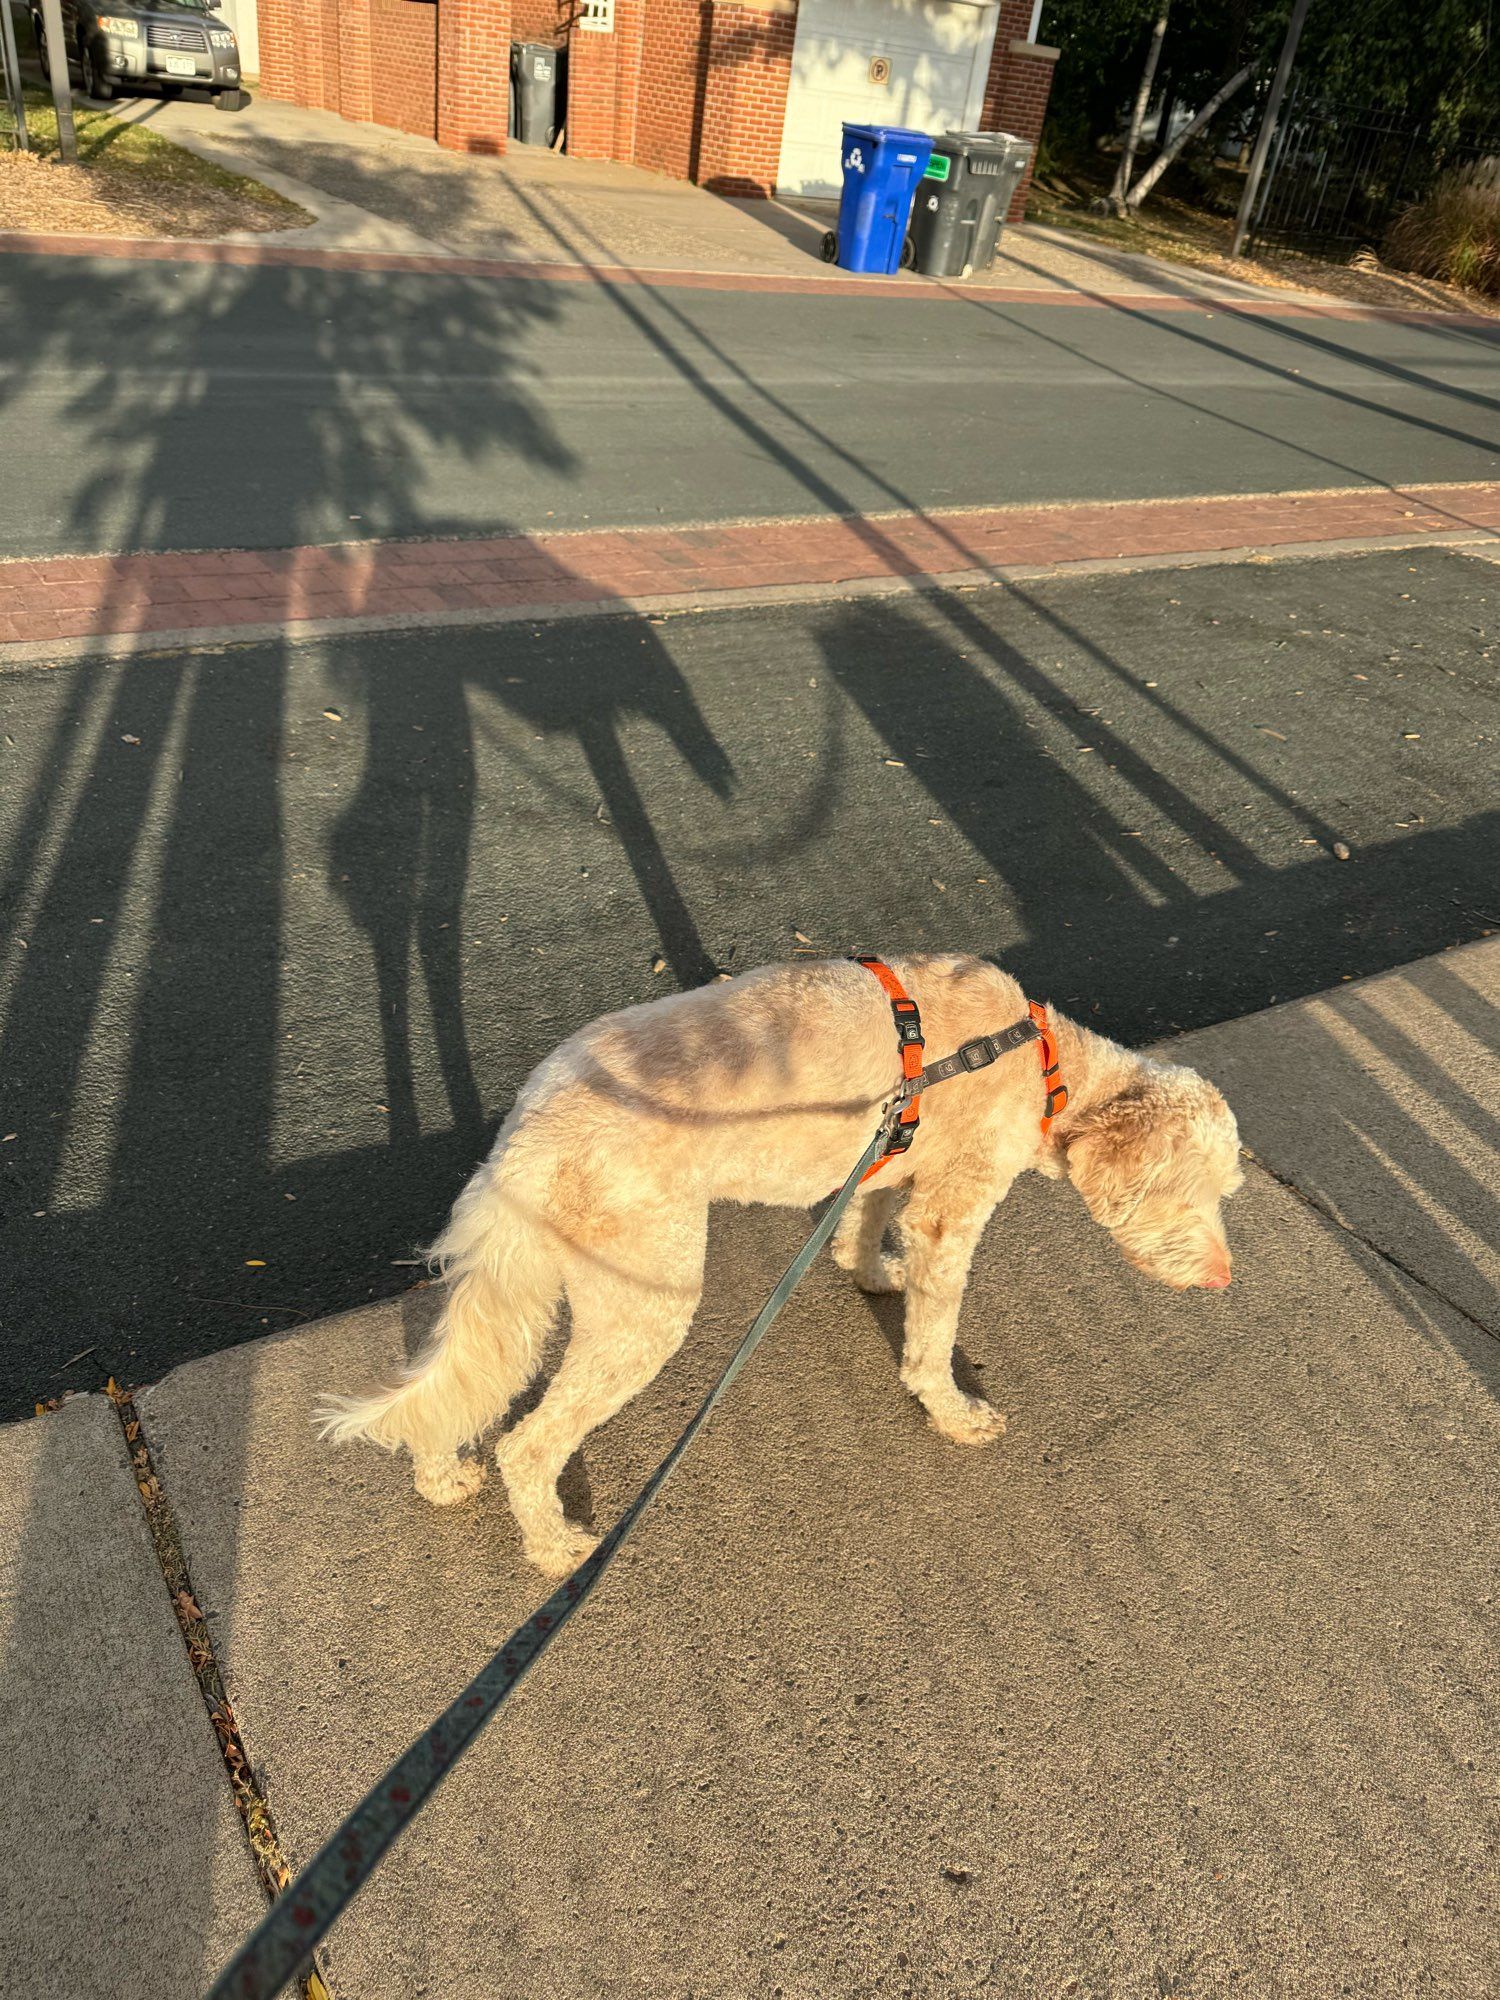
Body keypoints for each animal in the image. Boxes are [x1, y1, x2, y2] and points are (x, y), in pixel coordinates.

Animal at [320, 952, 1248, 1576]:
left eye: (1227, 1193)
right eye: (1191, 1194)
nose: (1223, 1281)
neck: (1046, 1063)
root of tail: (527, 1129)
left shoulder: (885, 1157)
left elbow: (866, 1226)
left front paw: (872, 1270)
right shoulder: (955, 1209)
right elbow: (936, 1331)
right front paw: (951, 1408)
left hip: (527, 1283)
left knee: (460, 1385)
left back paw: (443, 1477)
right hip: (645, 1303)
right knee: (529, 1442)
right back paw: (554, 1548)